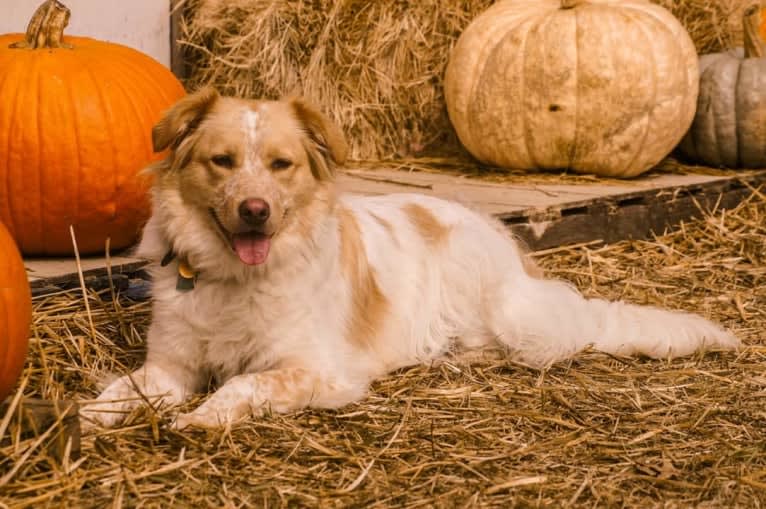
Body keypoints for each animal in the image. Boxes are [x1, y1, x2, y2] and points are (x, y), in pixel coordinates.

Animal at [81, 87, 740, 428]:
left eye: (280, 164)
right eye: (222, 161)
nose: (255, 210)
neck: (233, 277)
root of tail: (503, 241)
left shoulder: (315, 370)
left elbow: (243, 383)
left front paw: (202, 418)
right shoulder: (170, 367)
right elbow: (119, 393)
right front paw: (81, 421)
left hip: (518, 321)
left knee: (560, 339)